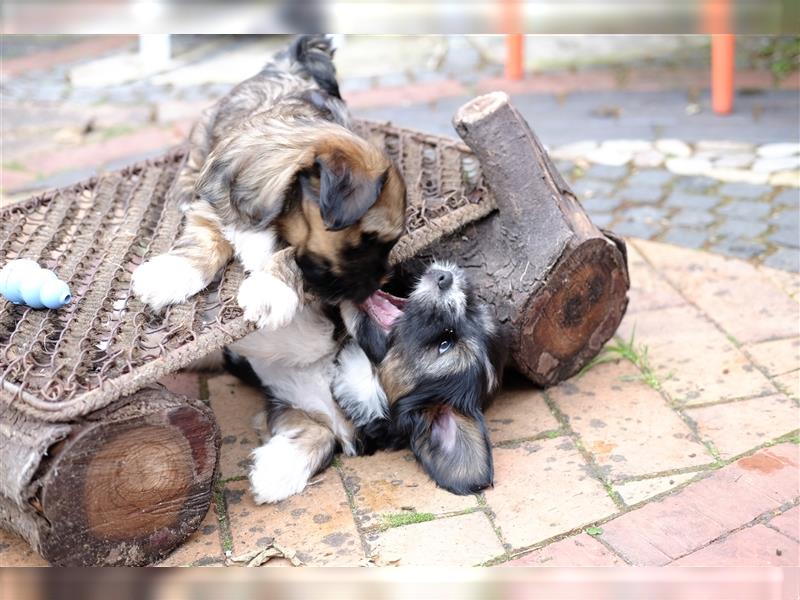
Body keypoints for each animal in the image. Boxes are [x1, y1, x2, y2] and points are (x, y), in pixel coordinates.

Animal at [134, 36, 406, 328]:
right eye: (366, 241)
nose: (381, 282)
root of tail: (290, 66)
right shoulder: (213, 208)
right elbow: (201, 241)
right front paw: (171, 274)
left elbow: (289, 254)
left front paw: (271, 290)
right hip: (205, 129)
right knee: (190, 162)